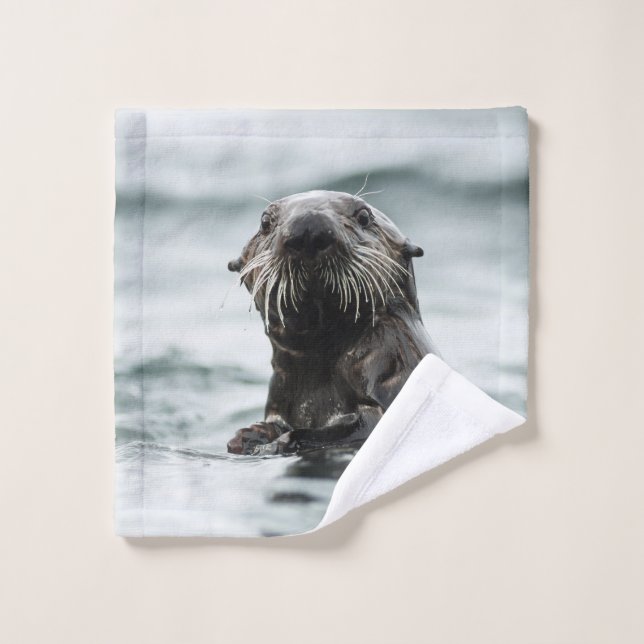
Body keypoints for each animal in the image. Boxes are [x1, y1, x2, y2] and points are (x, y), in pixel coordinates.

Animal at [226, 190, 438, 455]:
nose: (308, 228)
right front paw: (249, 435)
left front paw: (279, 441)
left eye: (364, 216)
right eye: (265, 222)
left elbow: (367, 424)